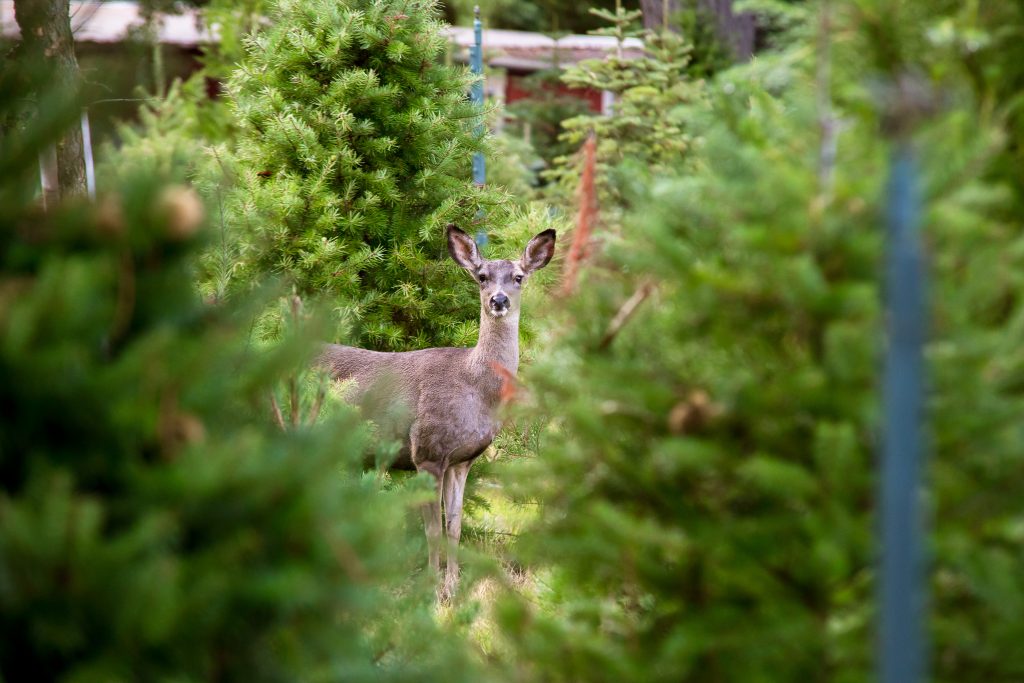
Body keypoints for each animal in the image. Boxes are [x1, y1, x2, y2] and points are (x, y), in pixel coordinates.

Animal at [319, 224, 561, 598]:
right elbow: (431, 529)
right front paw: (432, 591)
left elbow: (455, 525)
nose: (499, 301)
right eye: (481, 276)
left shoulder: (462, 460)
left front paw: (454, 589)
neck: (475, 386)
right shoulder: (427, 450)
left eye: (518, 277)